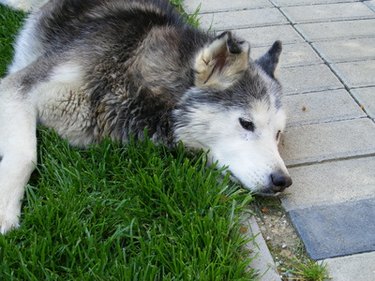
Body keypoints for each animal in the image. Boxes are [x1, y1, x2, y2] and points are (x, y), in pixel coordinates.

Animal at [0, 0, 294, 232]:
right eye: (246, 123)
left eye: (278, 134)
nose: (283, 181)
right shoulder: (16, 86)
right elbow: (26, 154)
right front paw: (5, 208)